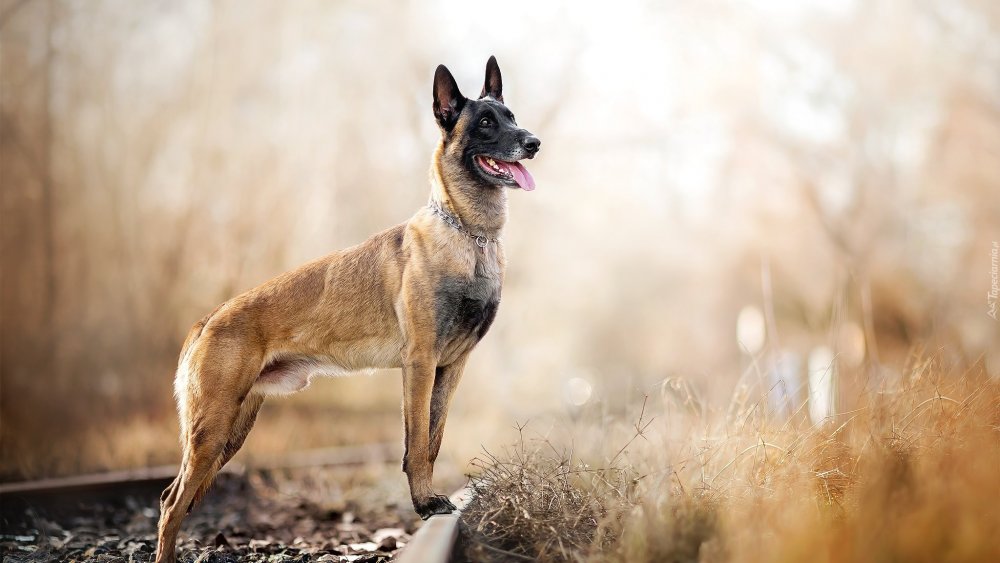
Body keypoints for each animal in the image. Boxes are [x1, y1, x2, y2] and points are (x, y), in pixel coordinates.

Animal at [157, 54, 544, 563]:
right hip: (213, 429)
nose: (534, 143)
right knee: (170, 504)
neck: (468, 234)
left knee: (172, 497)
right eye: (485, 122)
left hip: (230, 432)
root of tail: (208, 319)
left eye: (512, 116)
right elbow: (416, 444)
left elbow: (434, 440)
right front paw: (425, 504)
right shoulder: (420, 364)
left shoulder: (451, 367)